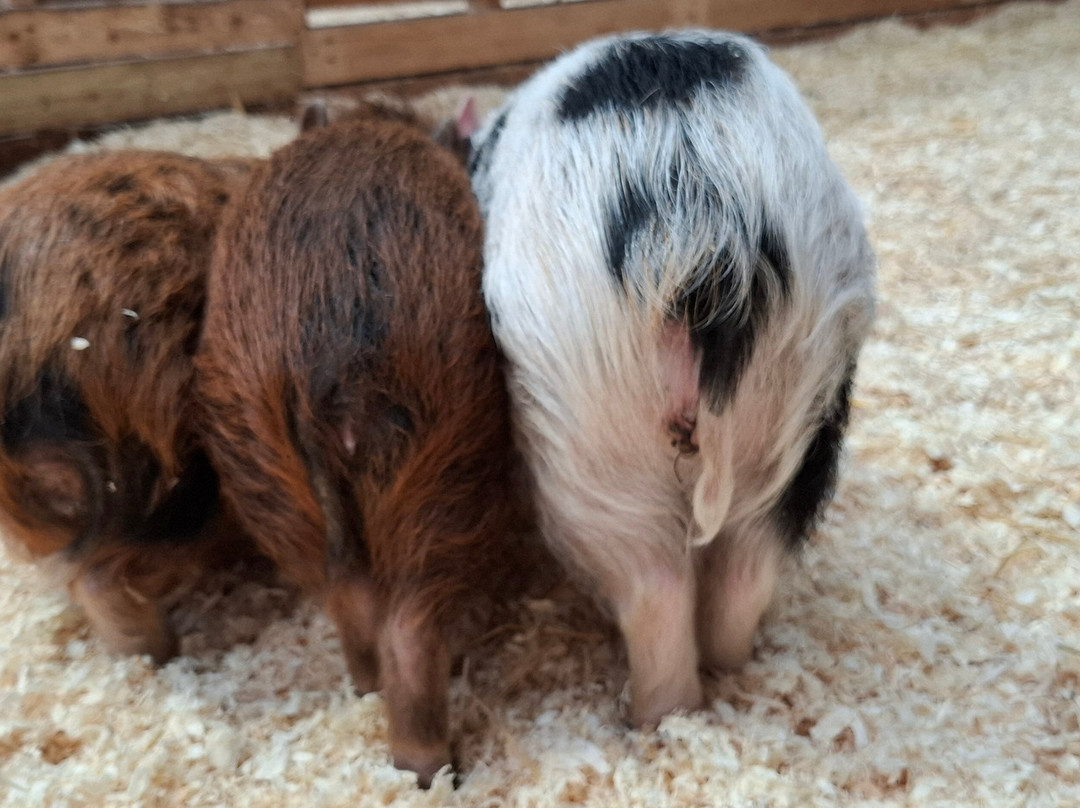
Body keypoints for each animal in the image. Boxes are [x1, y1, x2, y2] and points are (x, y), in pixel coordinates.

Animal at [195, 104, 529, 786]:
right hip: (445, 463)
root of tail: (327, 373)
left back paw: (366, 691)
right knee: (409, 626)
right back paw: (429, 769)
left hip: (259, 461)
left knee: (345, 599)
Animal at [468, 31, 876, 727]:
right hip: (806, 404)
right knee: (748, 567)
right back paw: (725, 677)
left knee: (653, 588)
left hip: (588, 431)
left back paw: (647, 718)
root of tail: (698, 227)